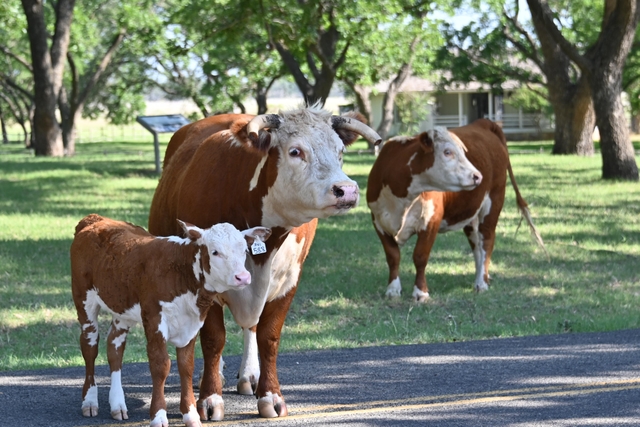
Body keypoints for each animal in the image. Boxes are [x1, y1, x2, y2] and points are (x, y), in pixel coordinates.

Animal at [70, 213, 271, 427]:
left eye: (244, 250)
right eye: (215, 252)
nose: (243, 277)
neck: (181, 271)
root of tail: (95, 219)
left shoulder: (192, 323)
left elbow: (186, 366)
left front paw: (190, 415)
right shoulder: (154, 321)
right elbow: (161, 366)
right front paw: (158, 415)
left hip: (122, 309)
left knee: (114, 349)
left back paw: (118, 405)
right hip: (84, 300)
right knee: (90, 346)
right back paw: (90, 401)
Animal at [147, 105, 382, 420]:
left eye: (340, 151)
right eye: (295, 151)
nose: (346, 189)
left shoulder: (289, 281)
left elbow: (268, 337)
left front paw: (271, 395)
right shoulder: (205, 283)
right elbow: (213, 339)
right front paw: (210, 398)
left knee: (251, 328)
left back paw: (250, 375)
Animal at [367, 118, 546, 302]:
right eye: (447, 152)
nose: (477, 176)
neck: (401, 200)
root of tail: (483, 123)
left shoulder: (431, 221)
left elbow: (420, 256)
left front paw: (421, 292)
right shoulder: (378, 221)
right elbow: (393, 256)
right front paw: (393, 289)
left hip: (493, 201)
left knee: (486, 241)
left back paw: (481, 283)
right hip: (470, 213)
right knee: (476, 245)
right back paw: (482, 276)